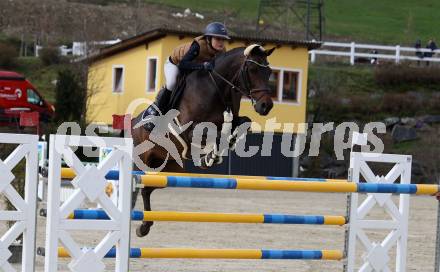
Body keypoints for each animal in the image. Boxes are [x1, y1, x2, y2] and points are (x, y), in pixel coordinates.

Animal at [130, 43, 276, 237]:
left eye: (269, 72)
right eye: (252, 70)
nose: (266, 106)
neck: (218, 87)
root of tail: (133, 122)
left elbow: (242, 122)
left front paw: (225, 145)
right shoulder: (190, 129)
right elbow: (215, 134)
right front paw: (210, 157)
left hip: (169, 169)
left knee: (147, 190)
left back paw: (144, 226)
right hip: (143, 162)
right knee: (139, 186)